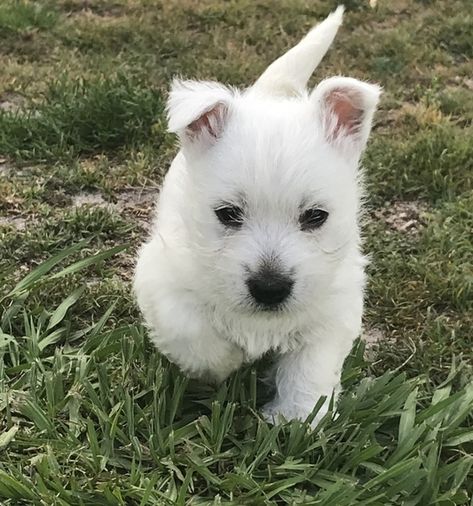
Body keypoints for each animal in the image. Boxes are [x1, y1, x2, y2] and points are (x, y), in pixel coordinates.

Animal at [133, 6, 380, 426]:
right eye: (228, 214)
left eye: (316, 216)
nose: (270, 288)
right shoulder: (161, 280)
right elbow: (195, 334)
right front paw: (228, 361)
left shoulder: (332, 308)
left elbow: (311, 367)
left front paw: (298, 419)